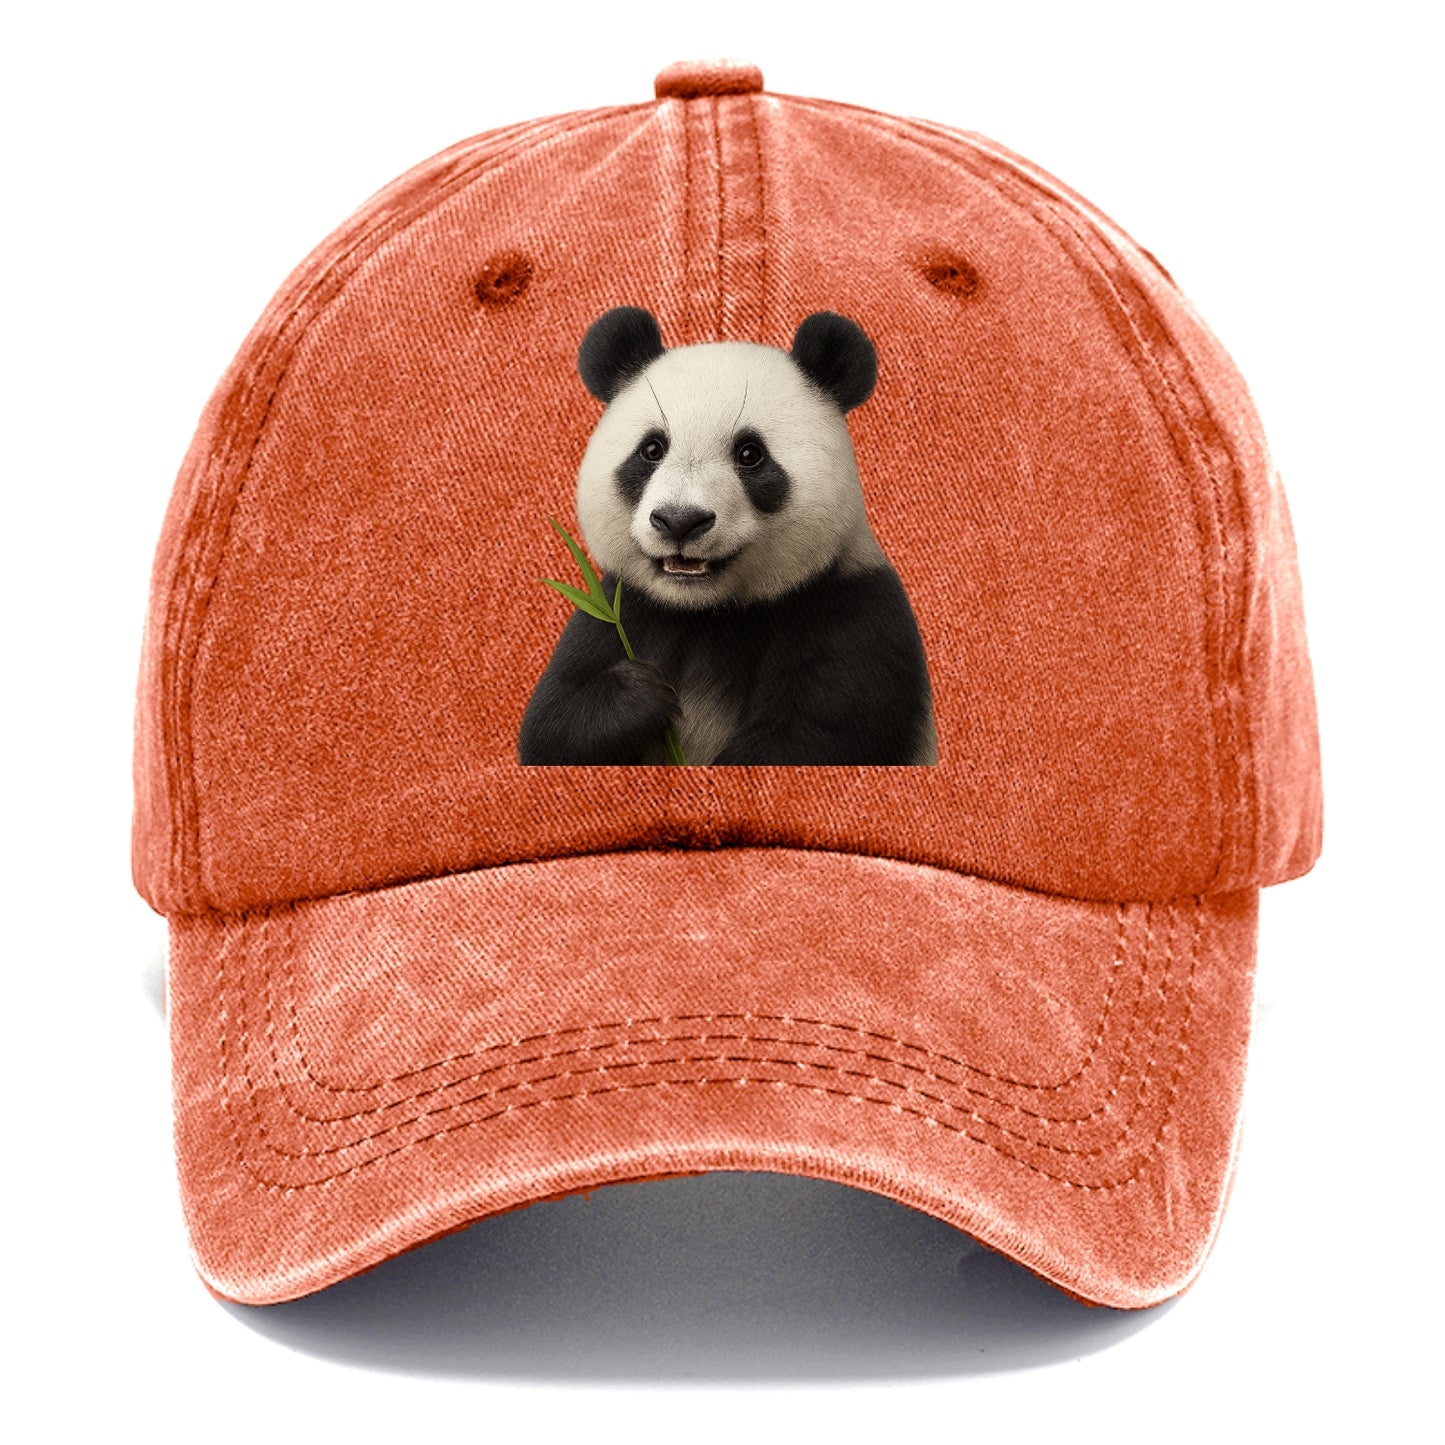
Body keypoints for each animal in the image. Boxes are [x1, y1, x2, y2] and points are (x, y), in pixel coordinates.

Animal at [517, 305, 938, 766]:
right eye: (652, 449)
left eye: (750, 454)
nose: (680, 520)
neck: (708, 613)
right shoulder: (621, 608)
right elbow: (550, 725)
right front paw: (639, 693)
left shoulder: (853, 615)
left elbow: (804, 740)